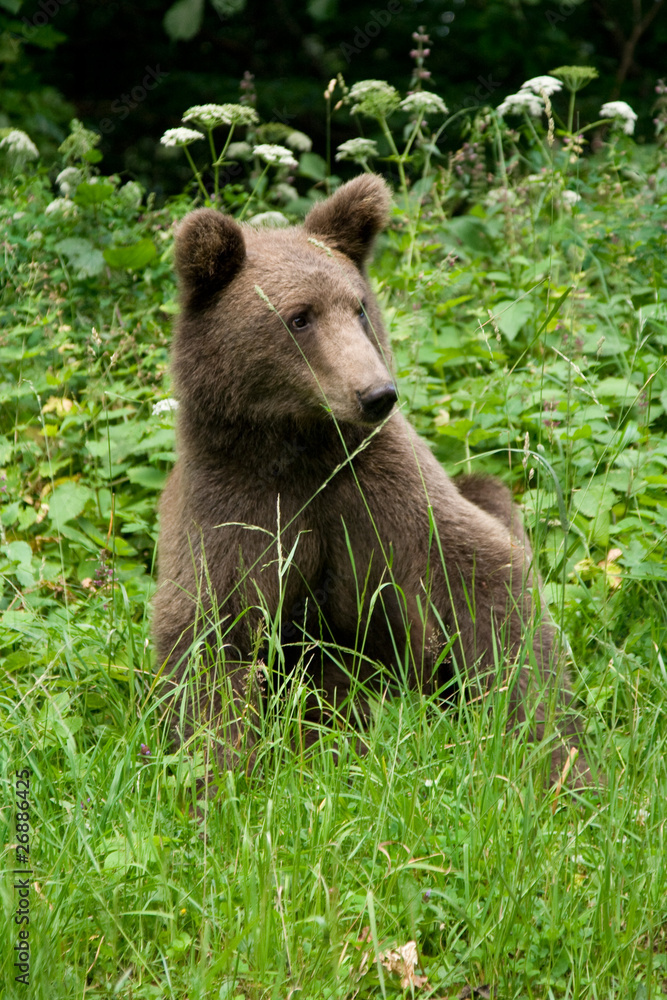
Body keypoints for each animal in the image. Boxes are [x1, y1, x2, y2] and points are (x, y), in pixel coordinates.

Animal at [153, 173, 590, 787]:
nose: (377, 393)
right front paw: (217, 776)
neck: (301, 444)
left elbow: (486, 583)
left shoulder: (378, 489)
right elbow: (210, 639)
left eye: (359, 307)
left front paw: (557, 758)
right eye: (299, 316)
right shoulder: (238, 505)